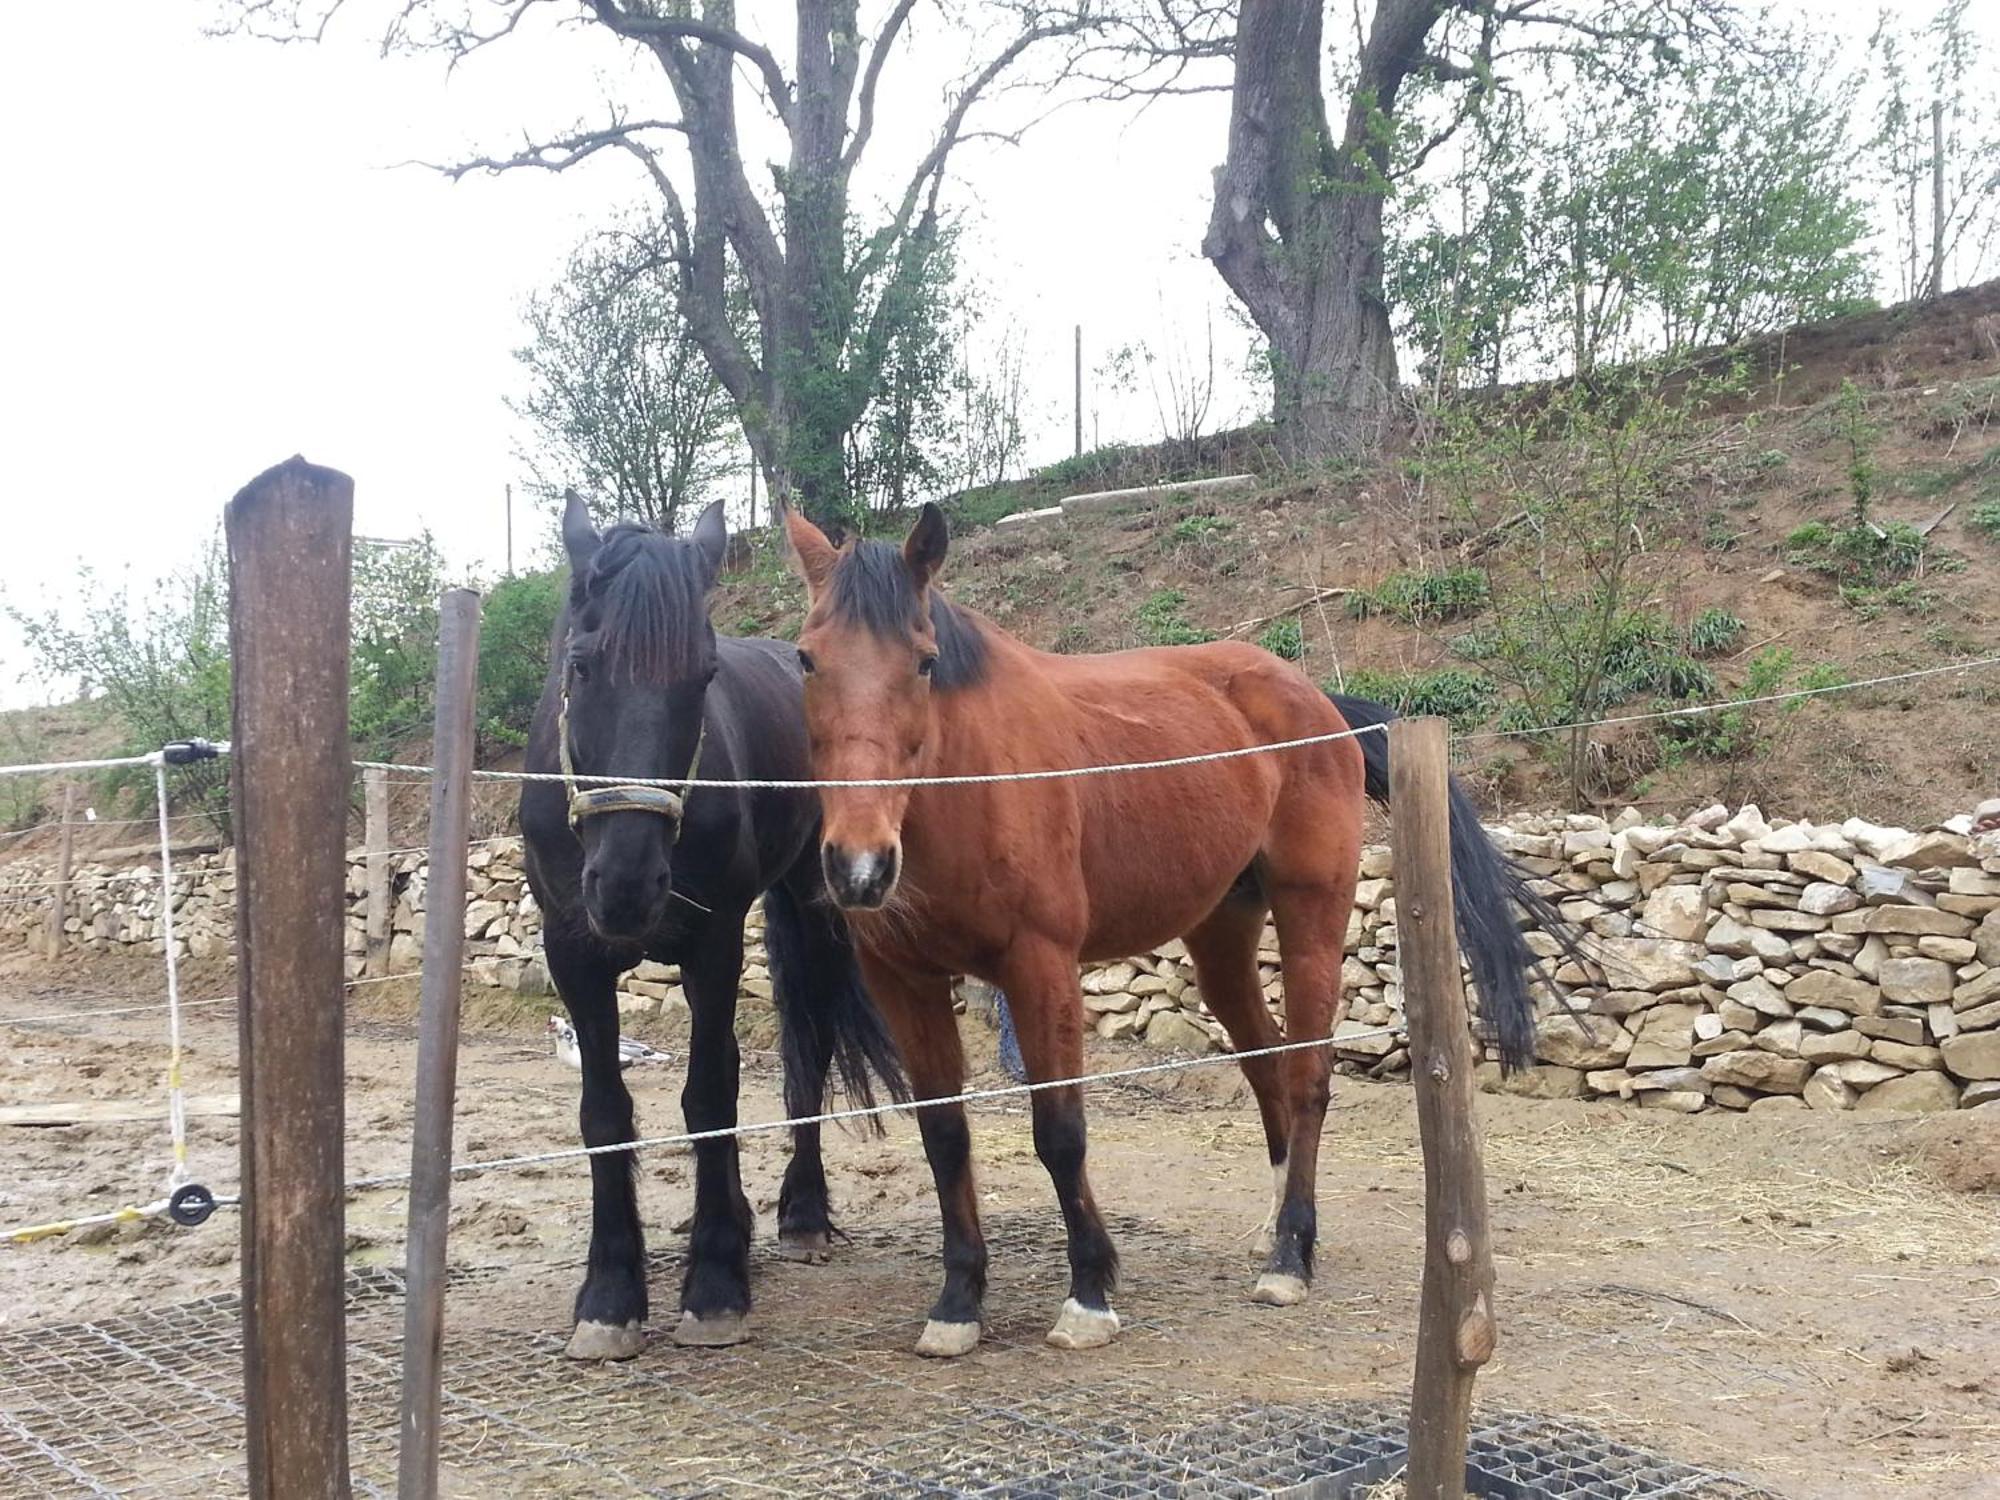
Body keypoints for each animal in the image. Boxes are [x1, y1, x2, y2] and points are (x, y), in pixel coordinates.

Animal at [520, 496, 904, 1360]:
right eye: (582, 666)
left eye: (701, 675)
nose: (629, 886)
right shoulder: (573, 953)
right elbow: (605, 1111)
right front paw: (610, 1295)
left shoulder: (714, 944)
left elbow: (709, 1097)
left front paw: (716, 1285)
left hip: (808, 908)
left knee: (805, 1053)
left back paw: (799, 1216)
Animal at [784, 506, 1576, 1360]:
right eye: (805, 659)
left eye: (925, 663)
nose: (860, 865)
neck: (967, 783)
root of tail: (1317, 702)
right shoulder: (904, 980)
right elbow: (943, 1137)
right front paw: (958, 1301)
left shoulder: (1041, 968)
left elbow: (1060, 1132)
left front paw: (1089, 1294)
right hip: (1222, 936)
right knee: (1266, 1067)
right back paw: (1277, 1226)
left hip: (1311, 917)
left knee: (1306, 1076)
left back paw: (1290, 1256)